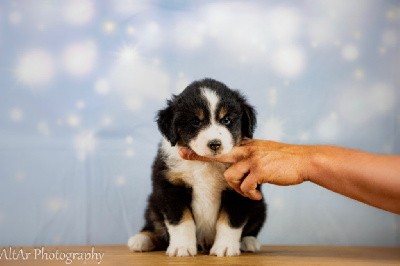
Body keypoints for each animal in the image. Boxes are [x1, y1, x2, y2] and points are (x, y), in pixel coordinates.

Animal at [128, 78, 266, 256]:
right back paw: (142, 239)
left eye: (226, 120)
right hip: (153, 203)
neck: (206, 162)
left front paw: (225, 247)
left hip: (259, 206)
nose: (215, 144)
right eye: (195, 122)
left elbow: (230, 221)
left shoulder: (240, 188)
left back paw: (249, 242)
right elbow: (181, 221)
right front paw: (181, 247)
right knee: (154, 224)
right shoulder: (170, 187)